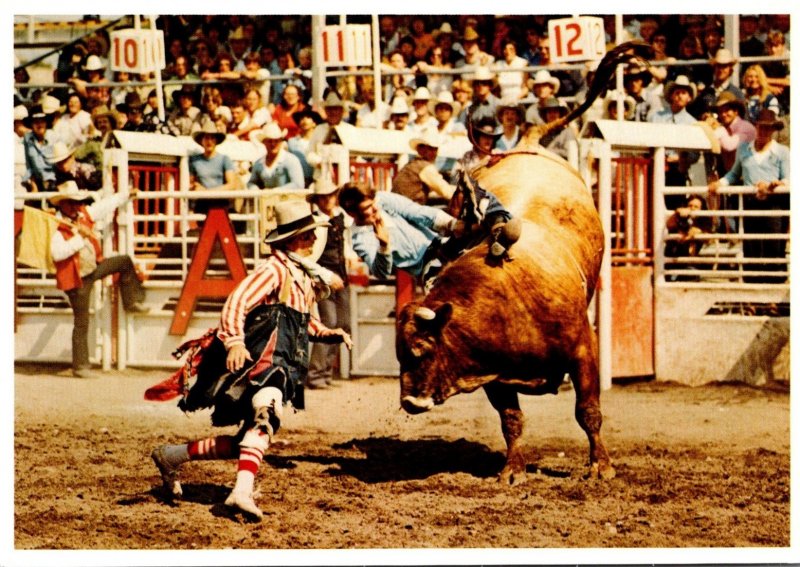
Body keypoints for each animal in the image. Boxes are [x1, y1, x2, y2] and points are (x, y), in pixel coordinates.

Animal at [396, 41, 652, 484]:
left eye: (422, 348)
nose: (410, 402)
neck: (508, 302)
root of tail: (530, 142)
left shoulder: (584, 350)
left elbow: (588, 411)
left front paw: (600, 465)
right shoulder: (493, 372)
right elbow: (511, 419)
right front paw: (513, 470)